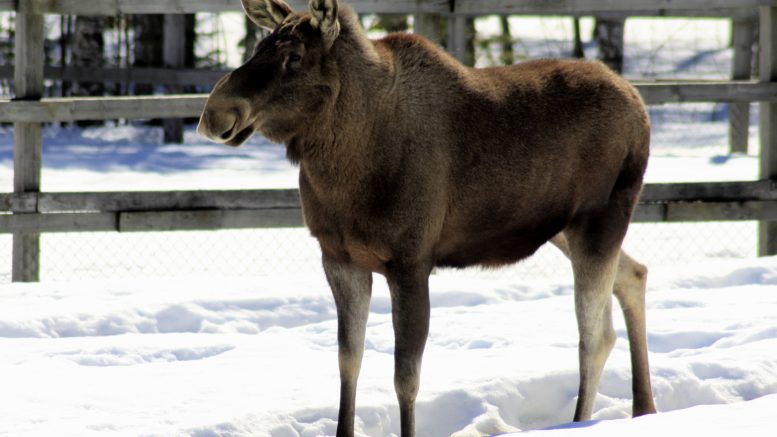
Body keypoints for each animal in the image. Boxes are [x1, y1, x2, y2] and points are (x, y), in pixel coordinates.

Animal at [197, 0, 656, 432]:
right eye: (259, 48)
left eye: (294, 56)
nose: (213, 115)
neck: (345, 169)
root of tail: (639, 103)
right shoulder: (339, 257)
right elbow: (349, 362)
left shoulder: (411, 261)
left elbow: (406, 378)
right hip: (566, 230)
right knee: (633, 276)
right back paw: (643, 407)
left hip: (600, 217)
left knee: (594, 335)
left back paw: (584, 421)